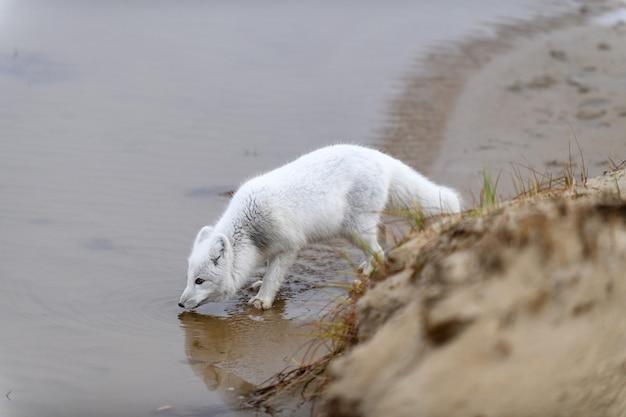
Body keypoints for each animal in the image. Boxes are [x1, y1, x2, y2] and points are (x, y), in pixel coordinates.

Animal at [178, 143, 460, 308]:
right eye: (189, 278)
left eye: (200, 281)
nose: (180, 305)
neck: (250, 231)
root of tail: (379, 157)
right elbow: (269, 271)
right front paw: (259, 285)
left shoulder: (289, 246)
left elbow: (274, 275)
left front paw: (263, 300)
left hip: (355, 228)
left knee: (380, 251)